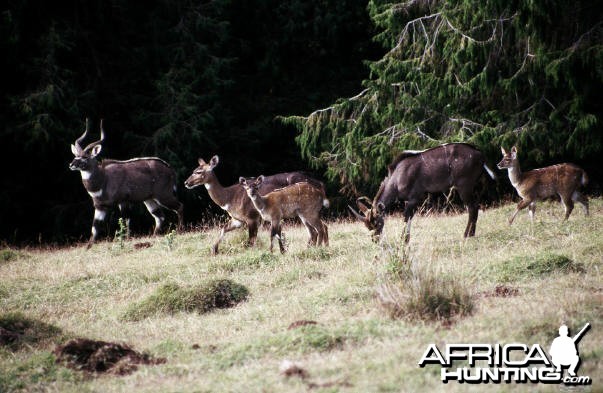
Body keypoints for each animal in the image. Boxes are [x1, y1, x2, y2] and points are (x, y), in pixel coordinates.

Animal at [68, 118, 182, 247]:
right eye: (76, 155)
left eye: (85, 157)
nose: (71, 165)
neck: (104, 179)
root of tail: (171, 170)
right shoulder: (100, 206)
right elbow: (95, 227)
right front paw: (89, 246)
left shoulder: (123, 201)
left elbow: (126, 221)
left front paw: (126, 239)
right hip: (149, 199)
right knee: (160, 216)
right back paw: (154, 236)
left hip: (163, 196)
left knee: (179, 207)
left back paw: (180, 230)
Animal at [185, 155, 324, 253]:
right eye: (194, 170)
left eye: (198, 172)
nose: (186, 183)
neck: (229, 199)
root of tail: (320, 184)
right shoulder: (237, 220)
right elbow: (223, 229)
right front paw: (214, 250)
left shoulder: (251, 217)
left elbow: (251, 242)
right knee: (315, 230)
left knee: (316, 229)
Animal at [350, 142, 496, 242]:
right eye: (367, 226)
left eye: (377, 223)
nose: (375, 240)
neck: (397, 178)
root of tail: (481, 156)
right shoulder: (409, 200)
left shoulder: (414, 198)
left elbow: (406, 217)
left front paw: (404, 240)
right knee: (475, 205)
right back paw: (471, 234)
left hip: (464, 186)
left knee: (472, 207)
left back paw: (467, 235)